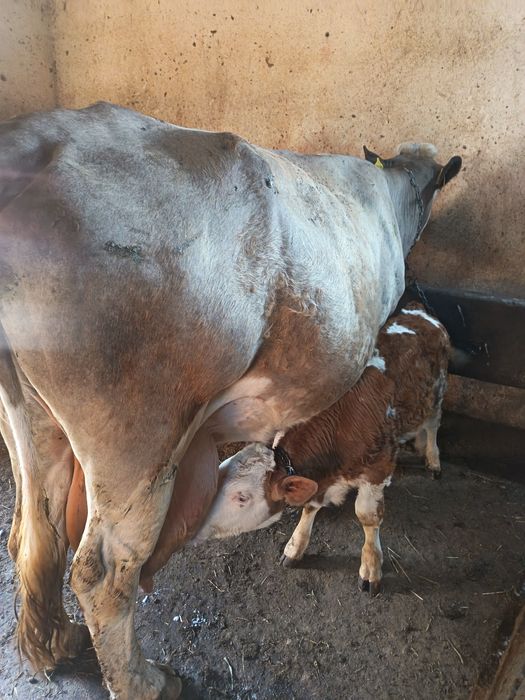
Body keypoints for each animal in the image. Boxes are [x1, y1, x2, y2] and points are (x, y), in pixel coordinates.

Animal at [196, 303, 450, 595]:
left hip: (438, 391)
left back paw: (432, 458)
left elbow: (367, 515)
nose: (192, 524)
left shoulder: (378, 468)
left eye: (242, 498)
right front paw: (295, 546)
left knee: (433, 424)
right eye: (219, 470)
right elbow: (310, 506)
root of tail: (418, 311)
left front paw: (371, 567)